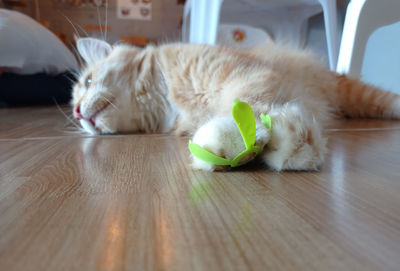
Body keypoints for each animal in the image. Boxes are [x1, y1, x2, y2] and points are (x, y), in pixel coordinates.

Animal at [70, 38, 400, 172]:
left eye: (88, 81)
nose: (75, 113)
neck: (167, 101)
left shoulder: (249, 76)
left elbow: (243, 106)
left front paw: (232, 137)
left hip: (358, 95)